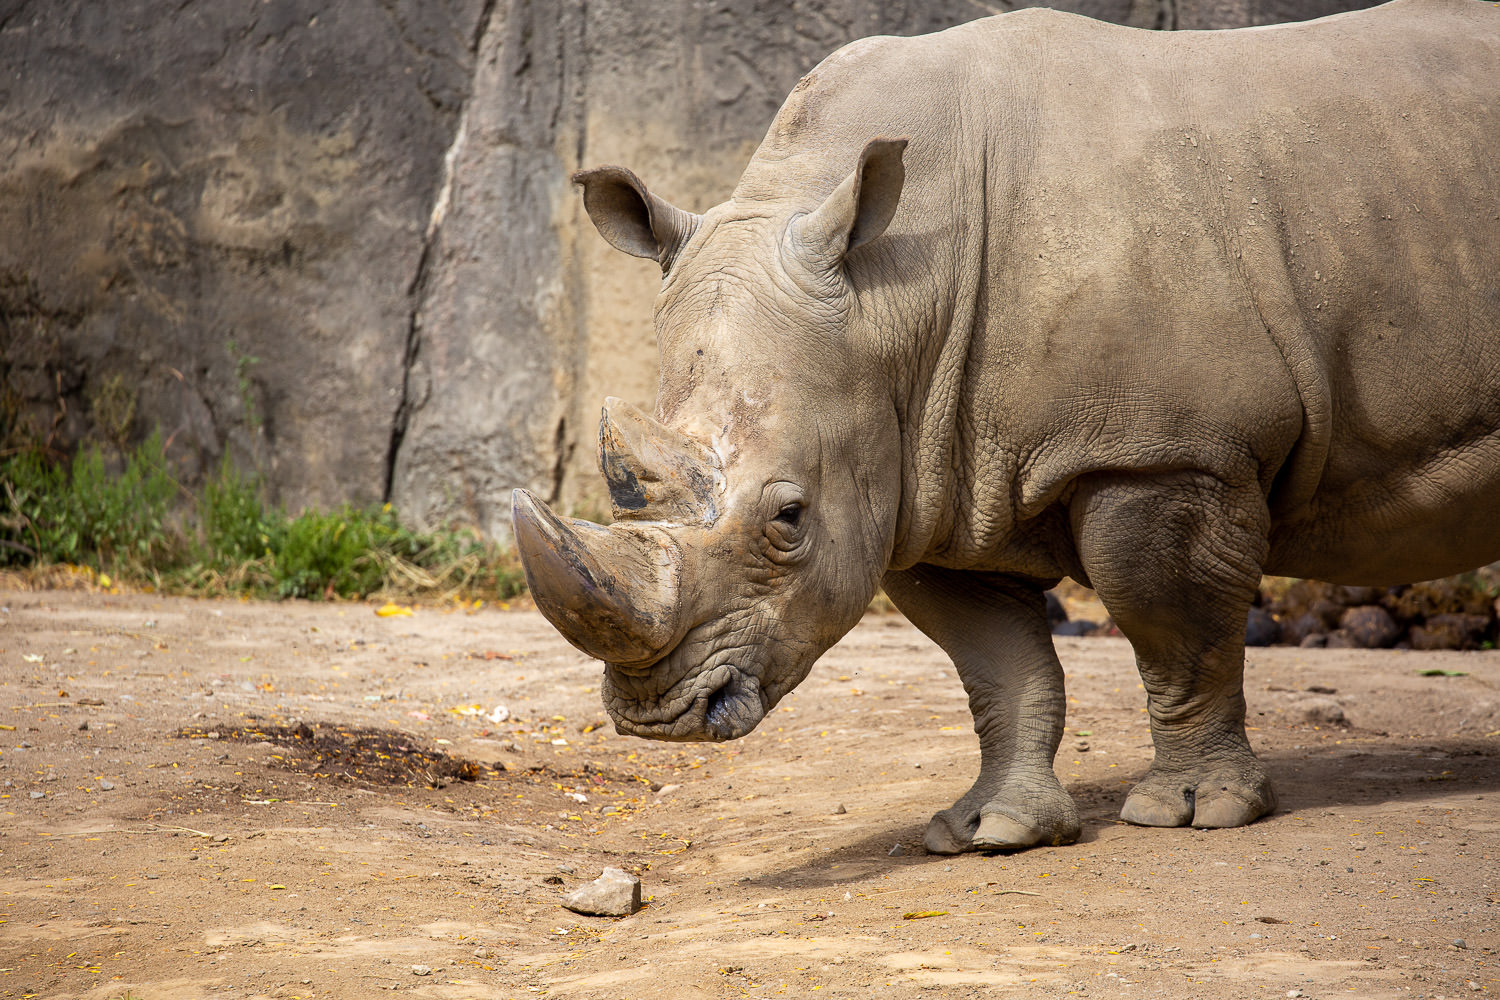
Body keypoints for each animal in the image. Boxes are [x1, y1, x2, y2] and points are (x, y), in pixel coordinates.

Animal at [512, 0, 1500, 854]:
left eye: (789, 519)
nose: (659, 716)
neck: (894, 300)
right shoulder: (926, 479)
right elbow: (1000, 666)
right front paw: (991, 831)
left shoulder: (1162, 452)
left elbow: (1175, 634)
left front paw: (1195, 811)